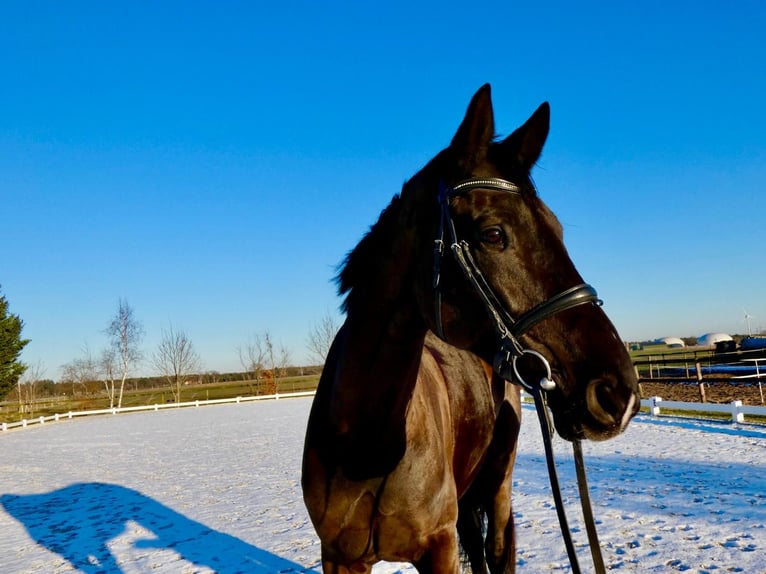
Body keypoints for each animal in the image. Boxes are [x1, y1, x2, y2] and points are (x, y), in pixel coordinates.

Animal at [304, 85, 640, 574]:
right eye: (493, 234)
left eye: (558, 229)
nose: (618, 392)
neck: (367, 442)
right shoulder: (339, 558)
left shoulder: (439, 549)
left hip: (497, 489)